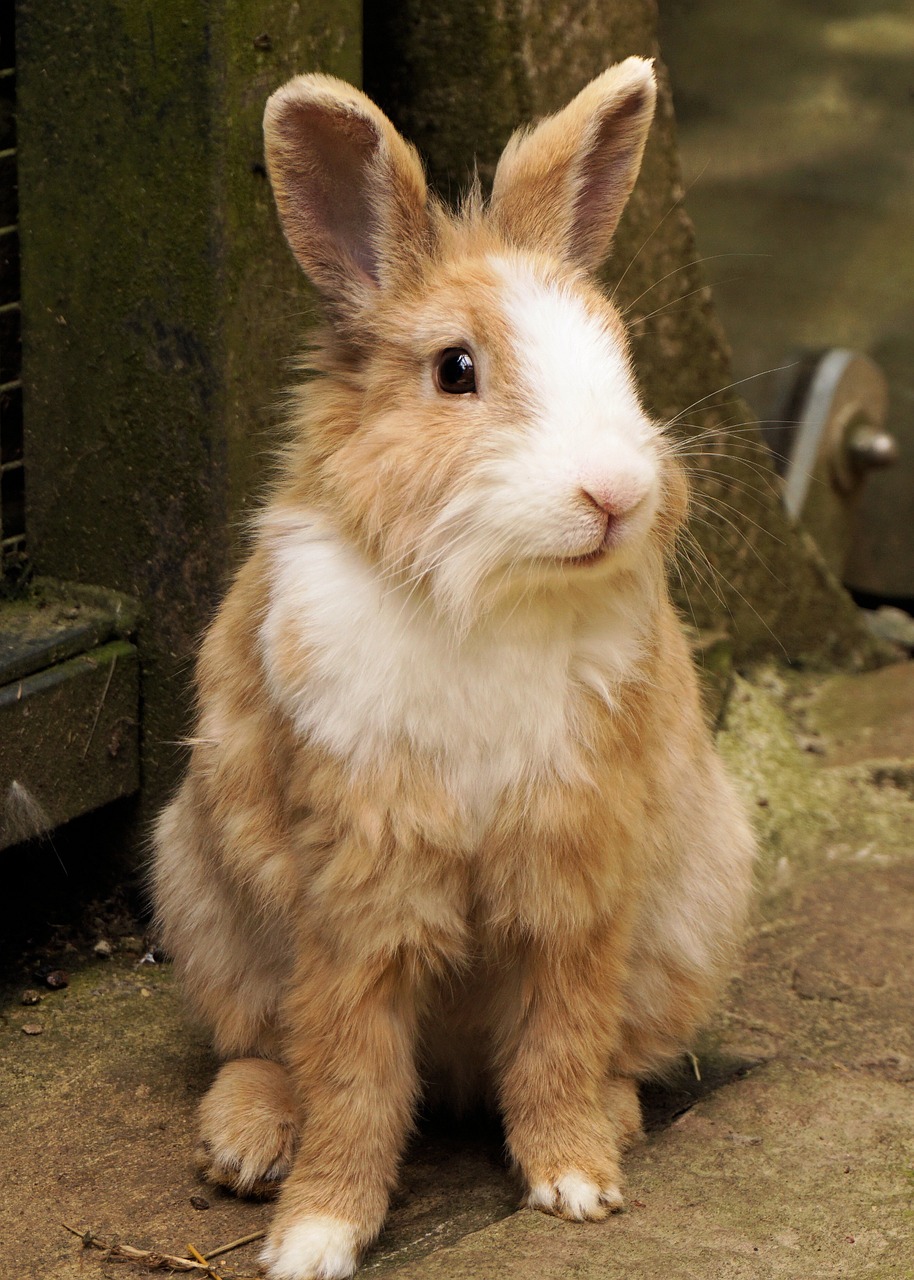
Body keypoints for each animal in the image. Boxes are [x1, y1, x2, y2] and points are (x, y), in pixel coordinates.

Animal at [152, 57, 752, 1280]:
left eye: (619, 355)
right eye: (456, 370)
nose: (616, 492)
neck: (493, 593)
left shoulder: (575, 865)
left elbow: (561, 1033)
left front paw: (575, 1182)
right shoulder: (358, 876)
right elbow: (351, 1070)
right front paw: (314, 1235)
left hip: (694, 912)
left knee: (603, 1049)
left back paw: (612, 1118)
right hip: (201, 897)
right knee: (262, 1047)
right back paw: (245, 1144)